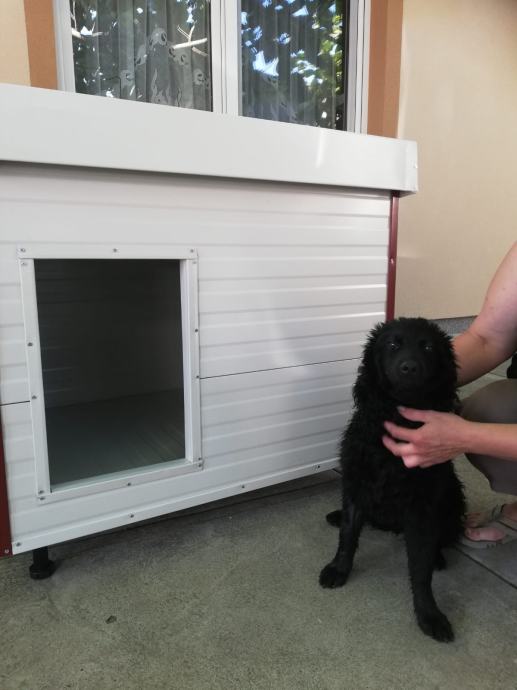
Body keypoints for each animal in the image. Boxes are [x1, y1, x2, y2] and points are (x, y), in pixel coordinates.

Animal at [319, 318, 465, 642]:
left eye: (428, 347)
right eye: (393, 344)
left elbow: (421, 569)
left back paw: (439, 556)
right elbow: (348, 536)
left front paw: (429, 614)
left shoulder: (422, 509)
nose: (409, 367)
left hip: (453, 496)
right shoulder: (357, 483)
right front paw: (339, 569)